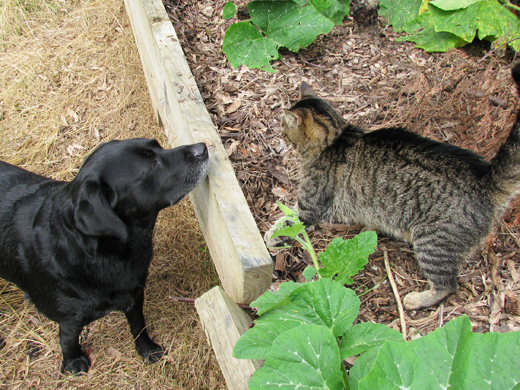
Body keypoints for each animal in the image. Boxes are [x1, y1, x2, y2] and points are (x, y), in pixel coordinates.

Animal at [0, 139, 207, 374]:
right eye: (151, 165)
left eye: (158, 145)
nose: (202, 148)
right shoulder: (69, 319)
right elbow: (68, 338)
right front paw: (73, 362)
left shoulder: (134, 294)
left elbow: (138, 324)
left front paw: (146, 348)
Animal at [278, 65, 520, 310]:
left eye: (284, 129)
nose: (280, 134)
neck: (335, 137)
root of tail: (485, 179)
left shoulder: (309, 207)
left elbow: (287, 224)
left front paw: (274, 237)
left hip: (433, 243)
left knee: (447, 285)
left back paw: (416, 299)